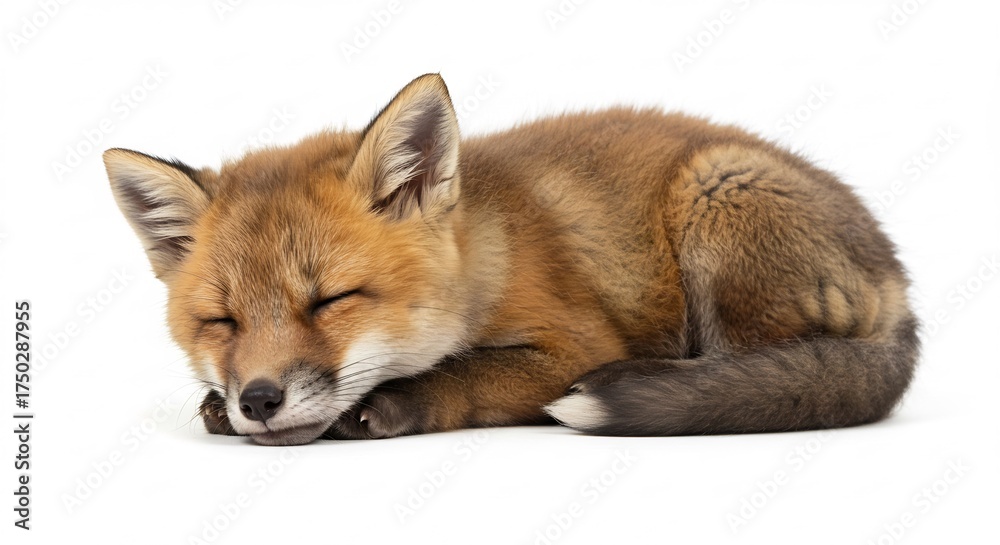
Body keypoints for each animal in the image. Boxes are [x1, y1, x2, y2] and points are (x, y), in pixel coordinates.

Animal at [103, 73, 918, 446]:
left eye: (331, 300)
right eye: (221, 321)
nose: (259, 400)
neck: (484, 261)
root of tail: (900, 277)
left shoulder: (578, 344)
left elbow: (469, 371)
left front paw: (397, 400)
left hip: (714, 195)